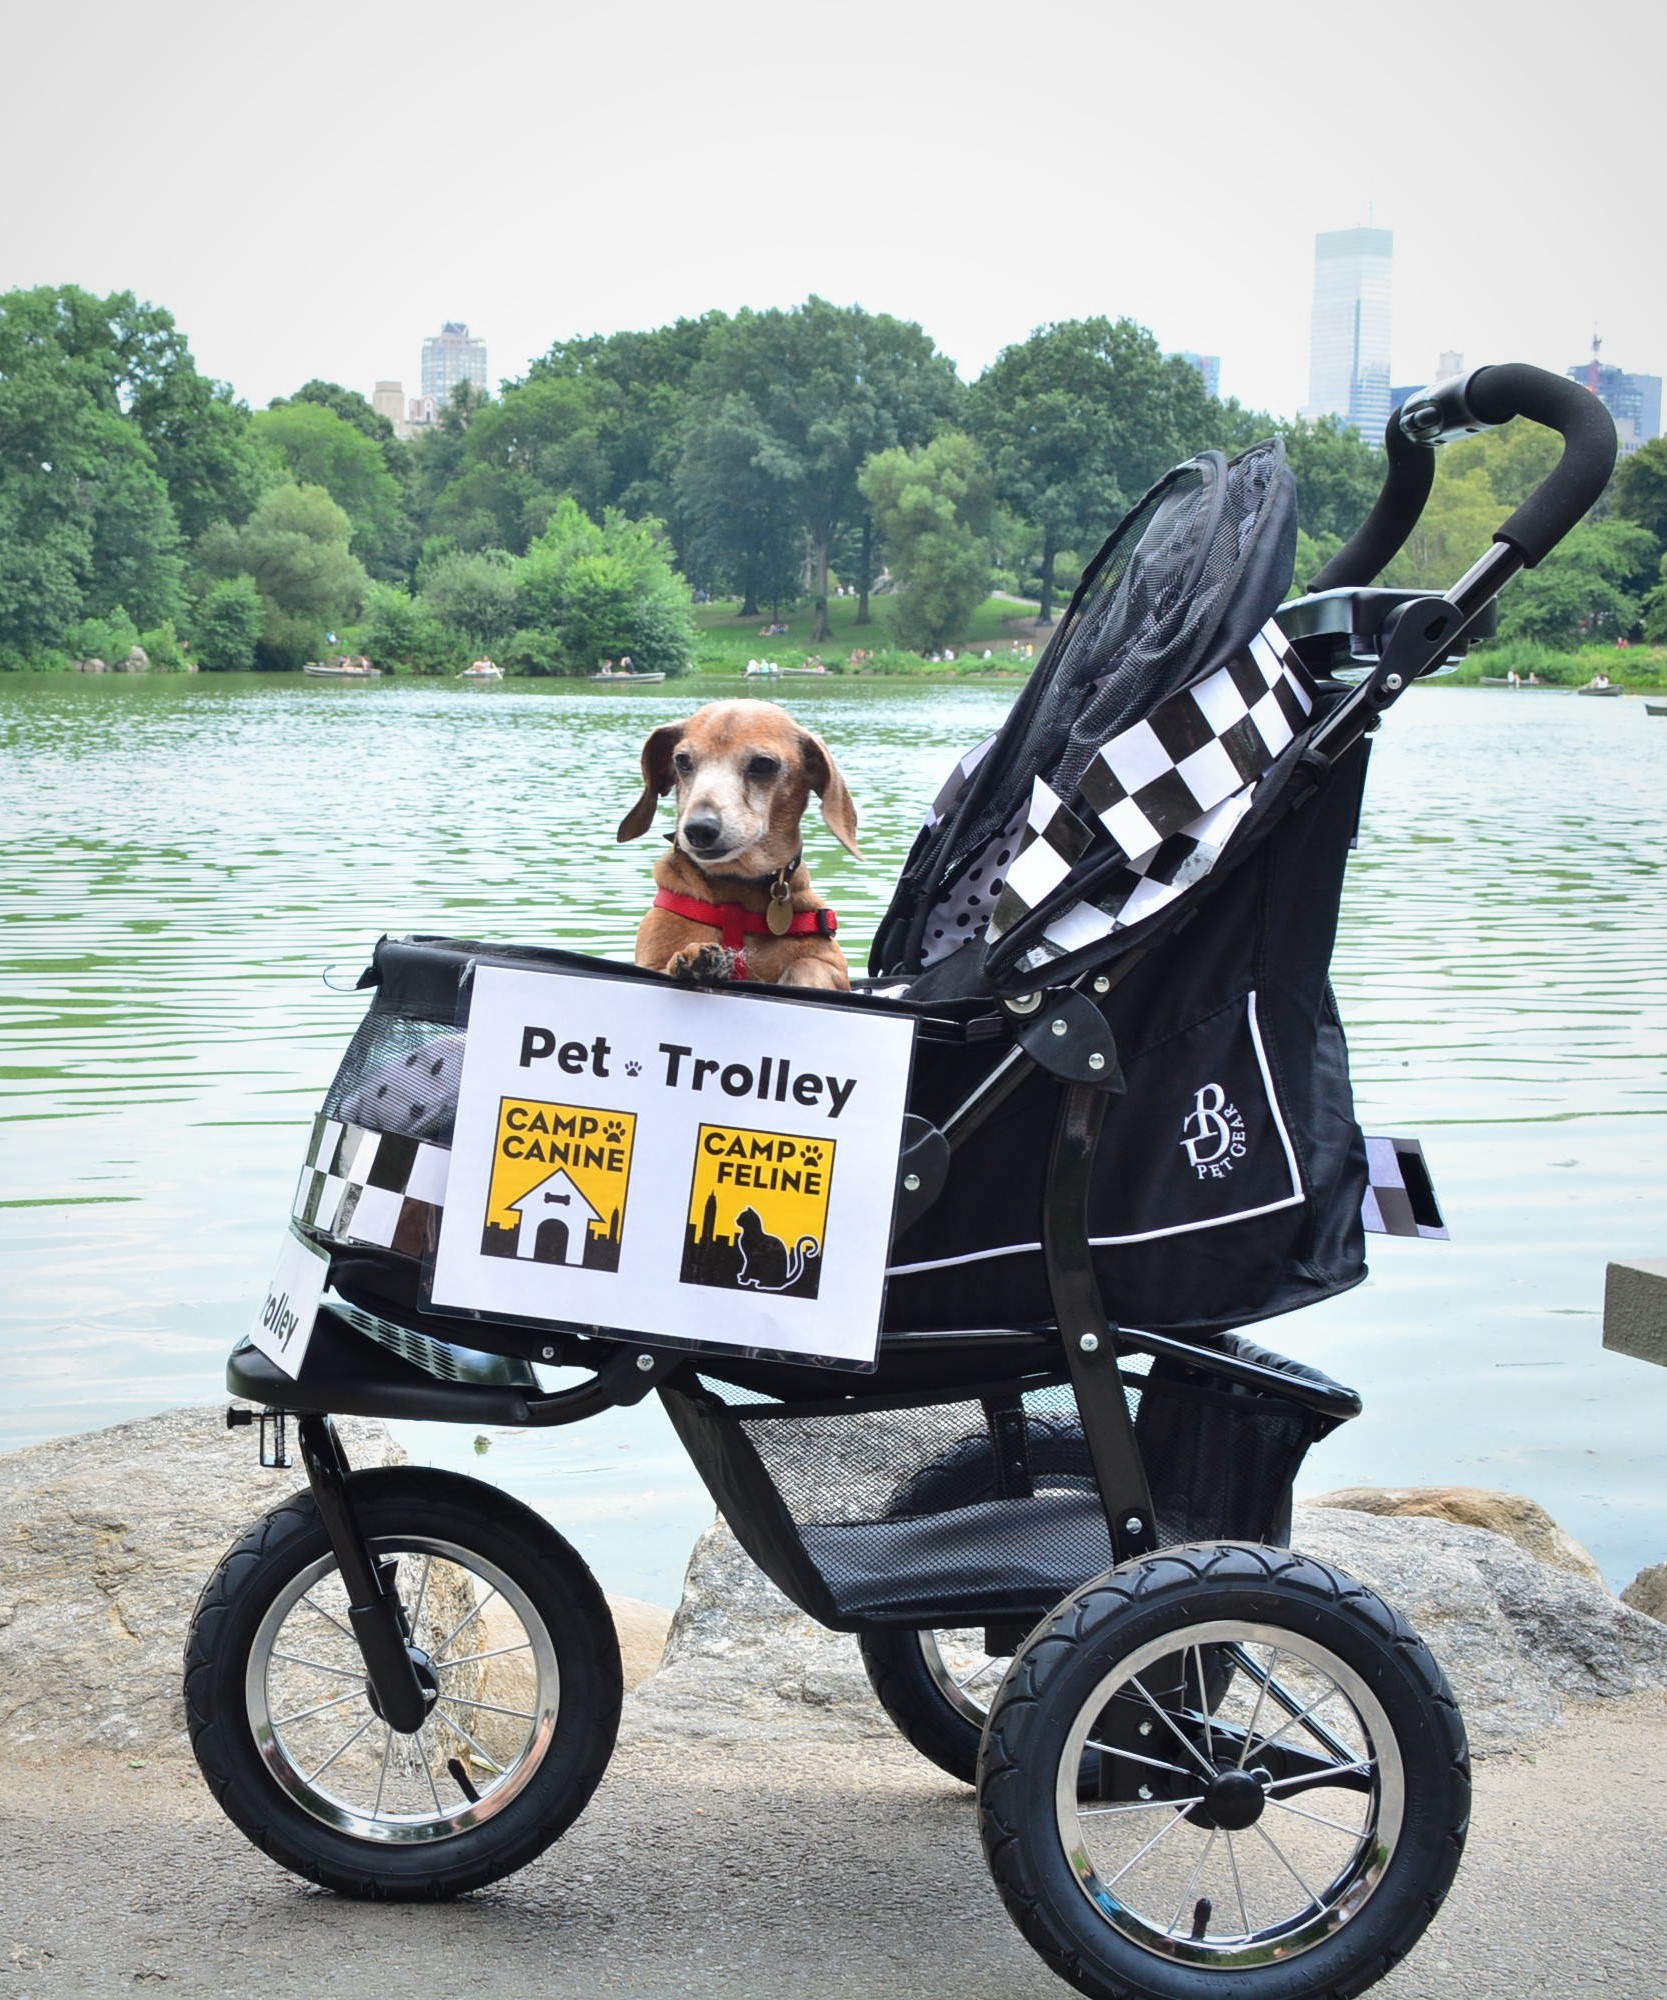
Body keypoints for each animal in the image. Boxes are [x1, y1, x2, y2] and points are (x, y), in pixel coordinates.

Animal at [616, 699, 860, 989]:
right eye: (682, 760)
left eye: (763, 764)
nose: (699, 829)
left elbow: (807, 964)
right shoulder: (650, 963)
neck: (737, 888)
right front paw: (694, 960)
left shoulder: (833, 968)